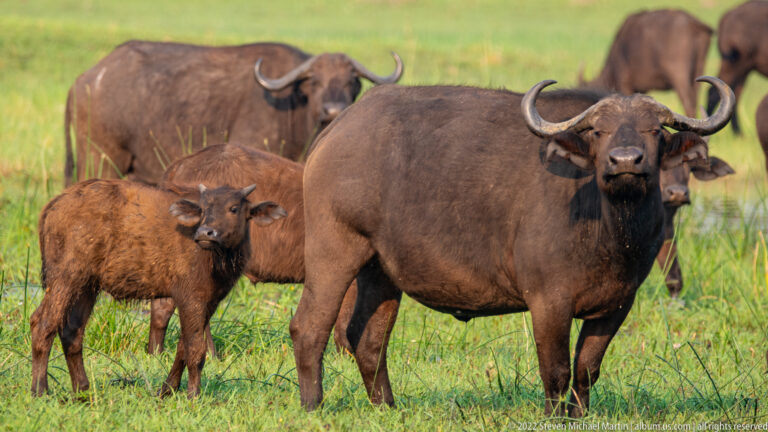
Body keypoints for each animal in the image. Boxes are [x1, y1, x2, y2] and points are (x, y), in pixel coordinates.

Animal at [32, 180, 286, 398]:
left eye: (234, 208)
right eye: (204, 209)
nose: (205, 233)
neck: (214, 257)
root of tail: (55, 204)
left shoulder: (209, 302)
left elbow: (183, 347)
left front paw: (167, 389)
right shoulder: (190, 298)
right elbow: (196, 349)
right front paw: (193, 395)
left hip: (87, 287)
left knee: (72, 331)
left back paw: (82, 389)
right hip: (64, 279)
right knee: (42, 323)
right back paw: (40, 390)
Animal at [289, 77, 734, 416]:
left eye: (655, 130)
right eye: (598, 131)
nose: (626, 160)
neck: (609, 227)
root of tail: (336, 130)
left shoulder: (618, 304)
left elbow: (587, 368)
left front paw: (579, 415)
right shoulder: (548, 301)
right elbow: (555, 370)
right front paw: (555, 417)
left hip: (380, 271)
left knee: (367, 339)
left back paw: (387, 407)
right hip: (334, 250)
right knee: (309, 326)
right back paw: (313, 406)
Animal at [707, 0, 768, 134]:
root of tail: (727, 15)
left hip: (744, 70)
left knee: (734, 95)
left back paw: (738, 134)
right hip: (735, 65)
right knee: (714, 93)